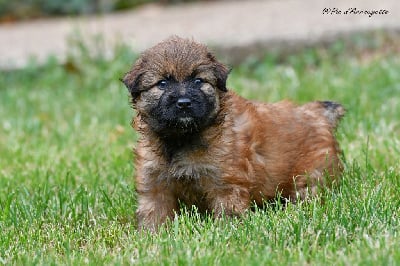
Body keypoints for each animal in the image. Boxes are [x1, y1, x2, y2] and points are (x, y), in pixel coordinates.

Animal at [121, 35, 344, 231]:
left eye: (198, 81)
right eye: (162, 83)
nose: (184, 103)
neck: (181, 139)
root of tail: (318, 114)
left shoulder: (227, 183)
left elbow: (229, 211)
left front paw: (227, 231)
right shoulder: (154, 182)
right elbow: (154, 212)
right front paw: (151, 235)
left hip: (312, 173)